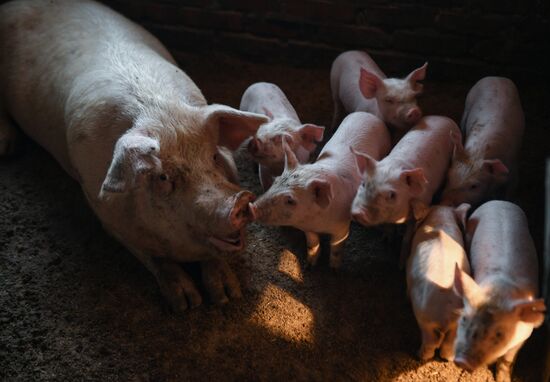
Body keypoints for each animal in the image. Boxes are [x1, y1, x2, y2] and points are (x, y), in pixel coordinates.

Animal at [0, 0, 270, 310]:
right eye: (163, 177)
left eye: (214, 156)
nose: (240, 200)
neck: (160, 115)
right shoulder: (104, 212)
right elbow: (155, 258)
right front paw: (187, 304)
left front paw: (228, 296)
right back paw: (6, 148)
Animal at [250, 112, 392, 268]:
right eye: (275, 181)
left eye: (290, 200)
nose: (252, 207)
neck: (318, 222)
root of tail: (368, 114)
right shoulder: (307, 228)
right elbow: (312, 245)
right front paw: (309, 265)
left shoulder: (342, 228)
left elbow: (336, 247)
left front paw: (334, 268)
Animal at [408, 203, 472, 362]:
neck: (441, 221)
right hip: (458, 325)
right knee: (449, 344)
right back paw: (448, 358)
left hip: (425, 319)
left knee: (431, 342)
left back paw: (419, 355)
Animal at [440, 76, 528, 207]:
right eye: (448, 176)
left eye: (474, 186)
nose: (445, 203)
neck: (478, 153)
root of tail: (497, 77)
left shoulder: (513, 170)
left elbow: (511, 191)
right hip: (468, 102)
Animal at [452, 201, 548, 380]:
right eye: (464, 319)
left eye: (499, 334)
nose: (462, 361)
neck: (499, 293)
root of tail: (500, 201)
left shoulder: (524, 336)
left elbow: (507, 359)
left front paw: (503, 379)